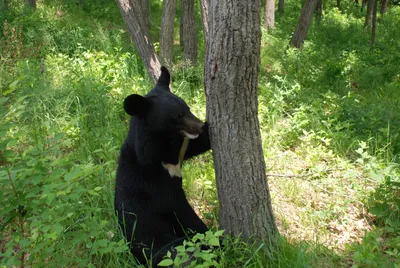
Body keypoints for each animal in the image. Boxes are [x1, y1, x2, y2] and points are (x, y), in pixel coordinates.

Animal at [114, 66, 211, 264]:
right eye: (177, 116)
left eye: (188, 108)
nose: (198, 126)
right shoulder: (156, 185)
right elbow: (182, 212)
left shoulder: (180, 151)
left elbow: (198, 143)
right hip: (161, 244)